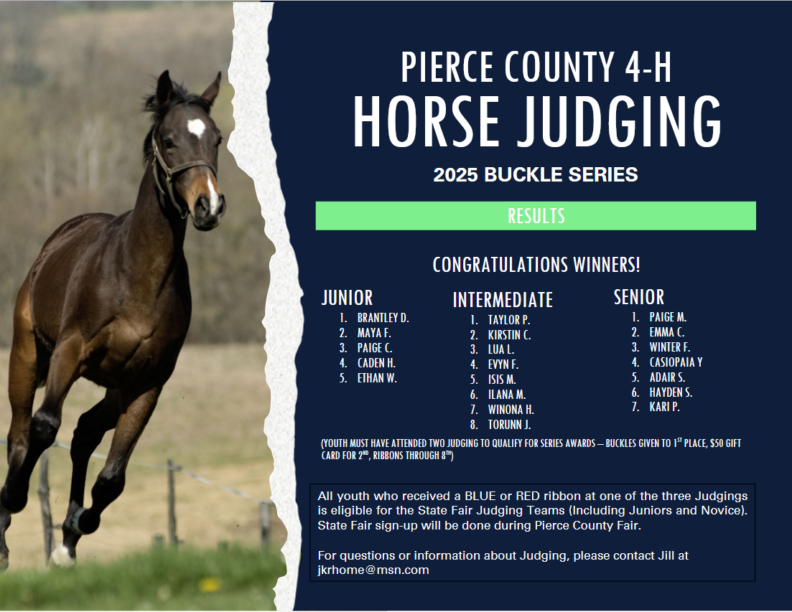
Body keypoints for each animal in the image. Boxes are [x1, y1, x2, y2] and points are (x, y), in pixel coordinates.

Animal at [0, 70, 226, 569]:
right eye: (169, 140)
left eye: (216, 138)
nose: (209, 206)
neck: (137, 276)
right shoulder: (69, 353)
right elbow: (45, 426)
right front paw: (16, 501)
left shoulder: (147, 383)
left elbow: (113, 478)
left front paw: (73, 534)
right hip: (27, 353)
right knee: (22, 433)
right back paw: (5, 531)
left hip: (114, 385)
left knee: (85, 432)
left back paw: (65, 538)